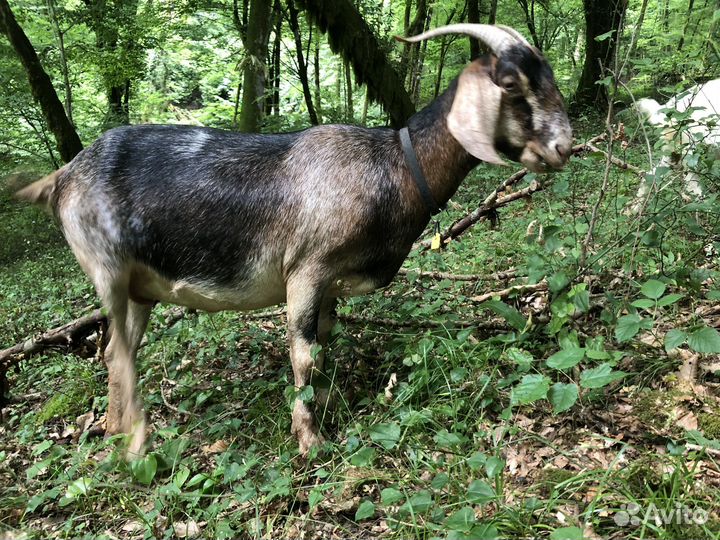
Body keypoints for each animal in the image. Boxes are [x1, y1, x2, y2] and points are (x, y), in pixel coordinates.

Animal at [16, 24, 572, 457]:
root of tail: (62, 177)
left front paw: (326, 407)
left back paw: (116, 436)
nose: (562, 147)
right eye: (509, 82)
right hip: (106, 269)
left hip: (139, 289)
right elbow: (304, 353)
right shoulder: (306, 269)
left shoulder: (329, 284)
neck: (392, 167)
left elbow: (325, 343)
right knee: (119, 352)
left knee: (117, 351)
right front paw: (310, 442)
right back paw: (135, 445)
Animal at [630, 78, 720, 212]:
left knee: (651, 174)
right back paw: (706, 205)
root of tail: (665, 109)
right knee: (690, 180)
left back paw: (634, 208)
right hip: (692, 148)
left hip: (674, 154)